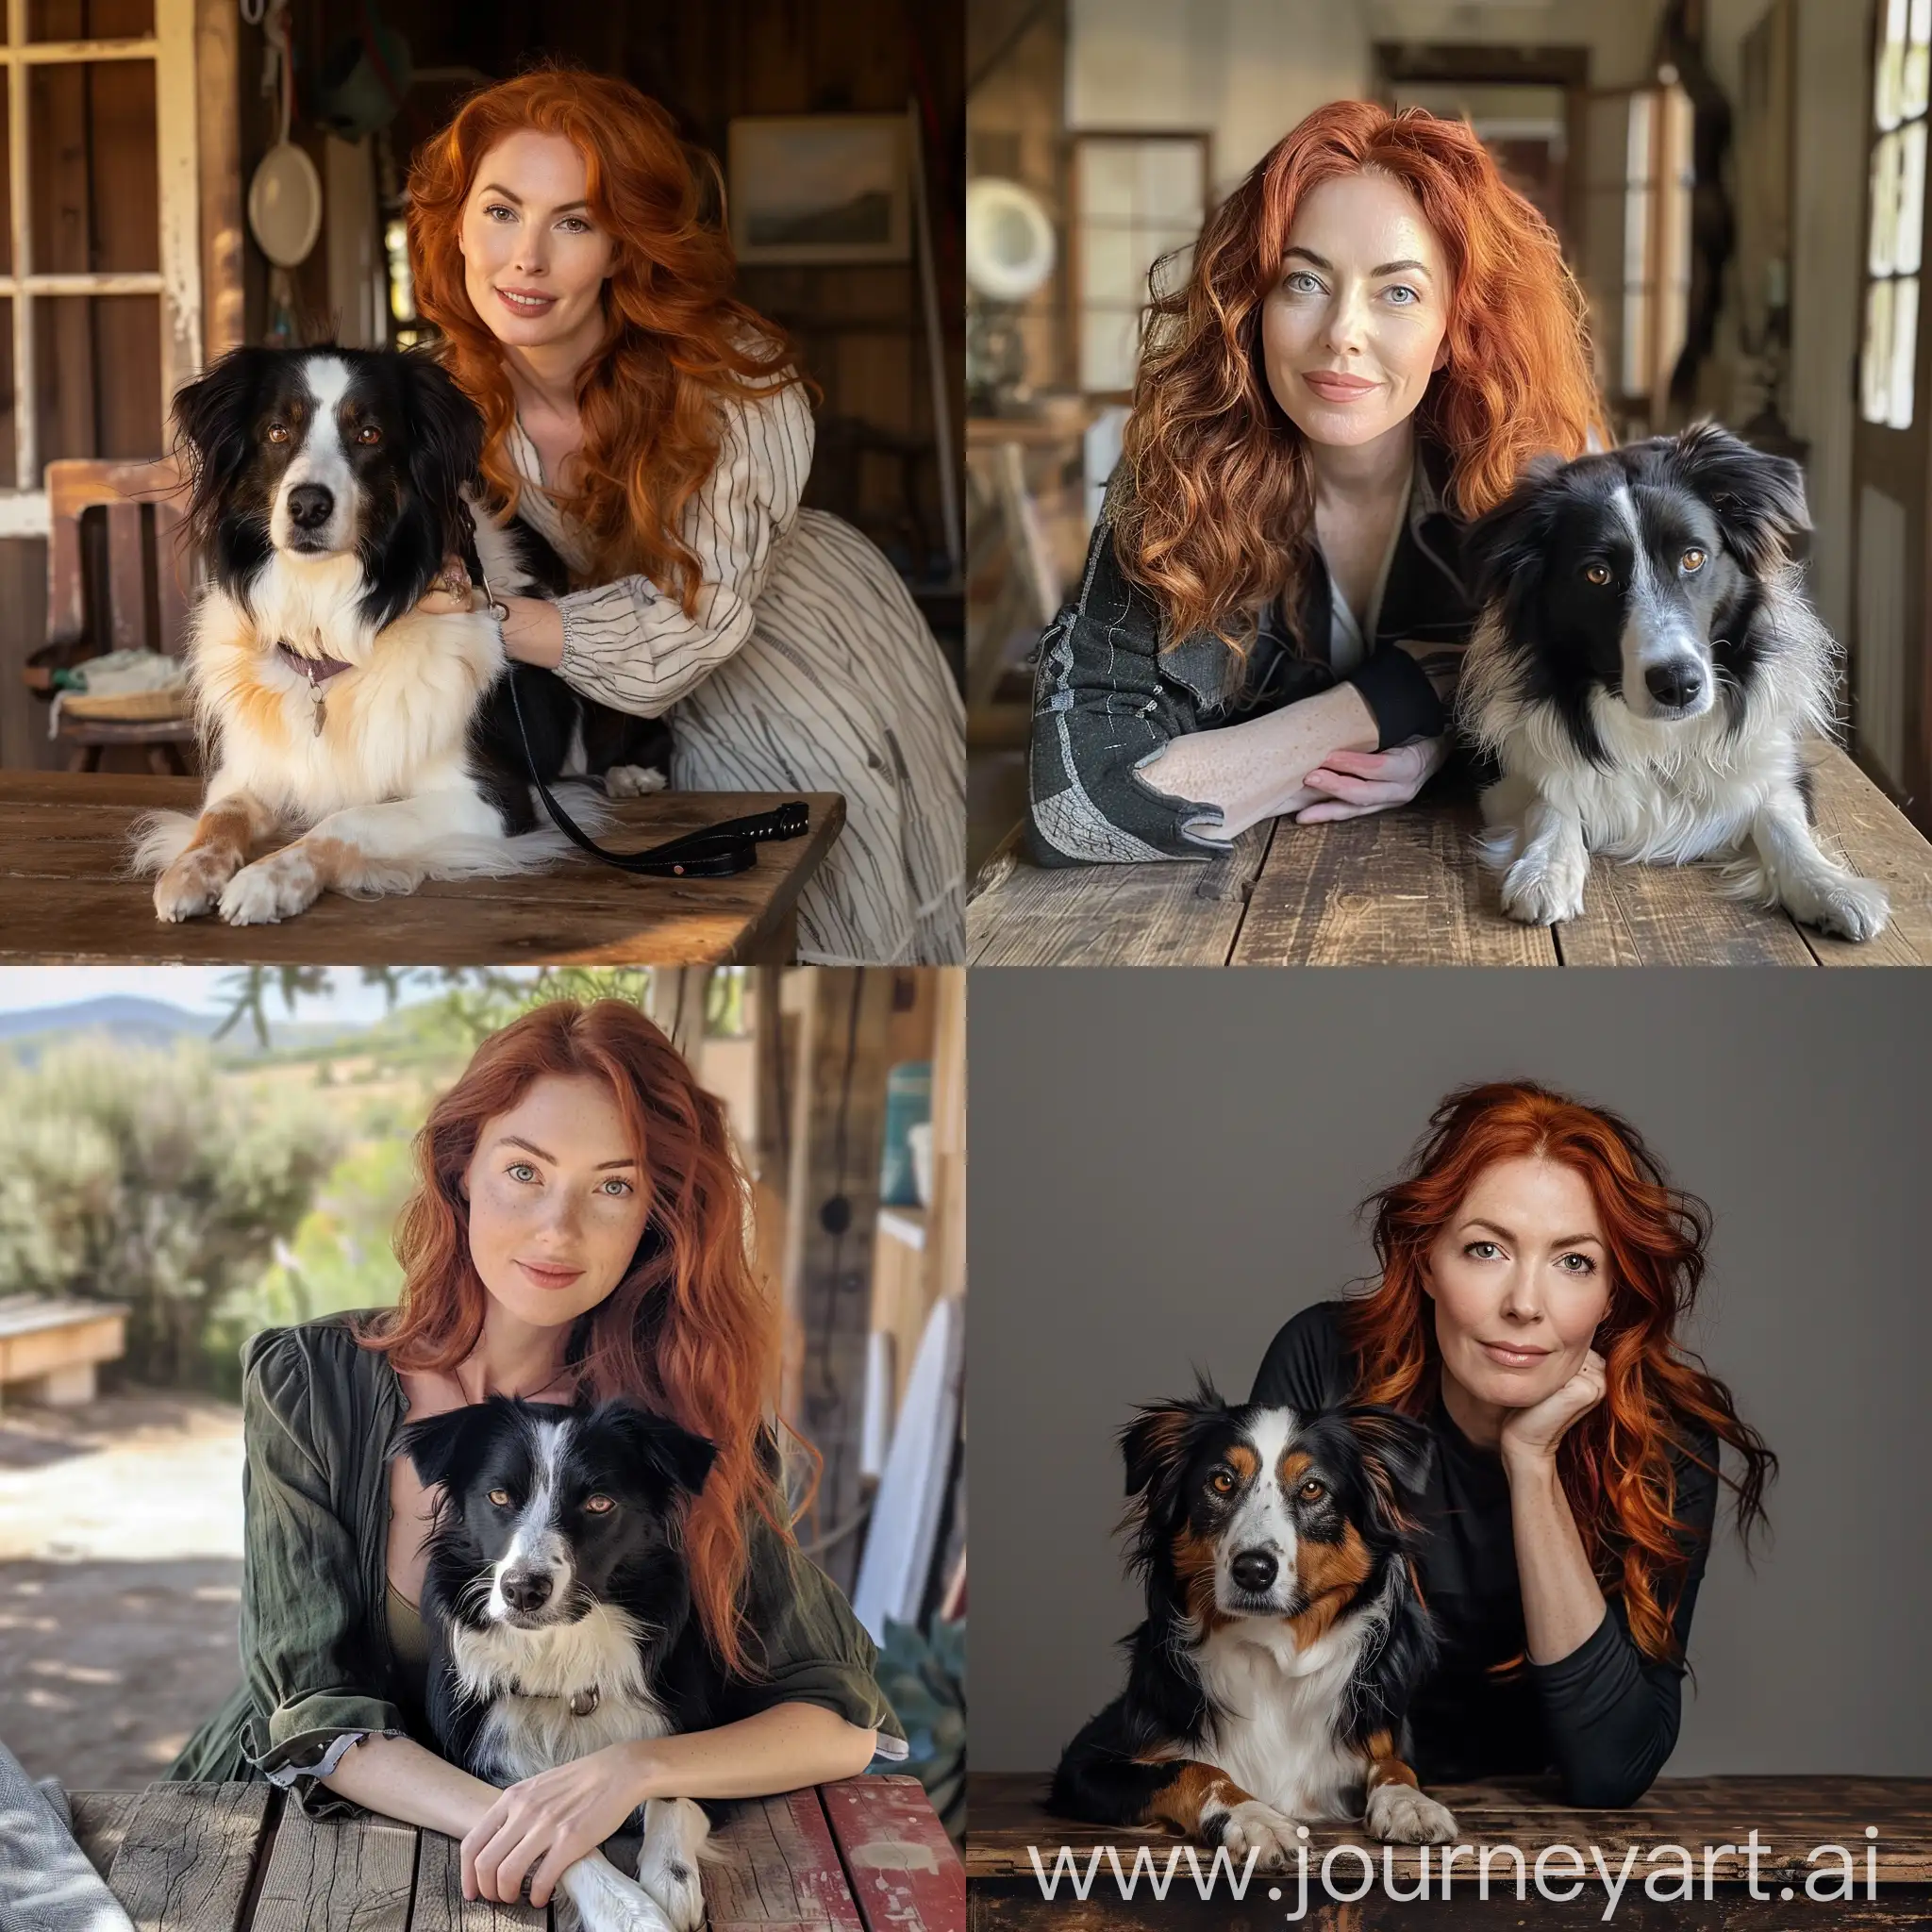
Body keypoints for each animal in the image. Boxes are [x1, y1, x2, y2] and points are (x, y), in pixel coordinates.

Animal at [138, 347, 672, 927]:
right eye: (278, 432)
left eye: (369, 434)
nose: (307, 506)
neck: (330, 630)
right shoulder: (248, 773)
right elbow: (221, 817)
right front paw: (190, 871)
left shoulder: (493, 800)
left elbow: (350, 818)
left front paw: (269, 879)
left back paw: (632, 775)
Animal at [401, 1398, 726, 1932]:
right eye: (498, 1496)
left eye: (599, 1504)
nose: (522, 1589)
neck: (560, 1658)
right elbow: (545, 1830)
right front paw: (633, 1913)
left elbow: (672, 1786)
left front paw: (671, 1882)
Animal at [1058, 1391, 1453, 1870]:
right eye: (1222, 1482)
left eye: (1312, 1488)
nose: (1253, 1570)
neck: (1272, 1648)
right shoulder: (1085, 1764)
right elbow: (1192, 1768)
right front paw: (1255, 1818)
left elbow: (1394, 1763)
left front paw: (1410, 1802)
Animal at [1460, 423, 1885, 942]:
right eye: (1597, 574)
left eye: (1693, 558)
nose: (1678, 685)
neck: (1661, 737)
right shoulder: (1505, 774)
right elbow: (1552, 798)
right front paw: (1545, 871)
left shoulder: (1775, 761)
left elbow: (1778, 815)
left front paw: (1828, 886)